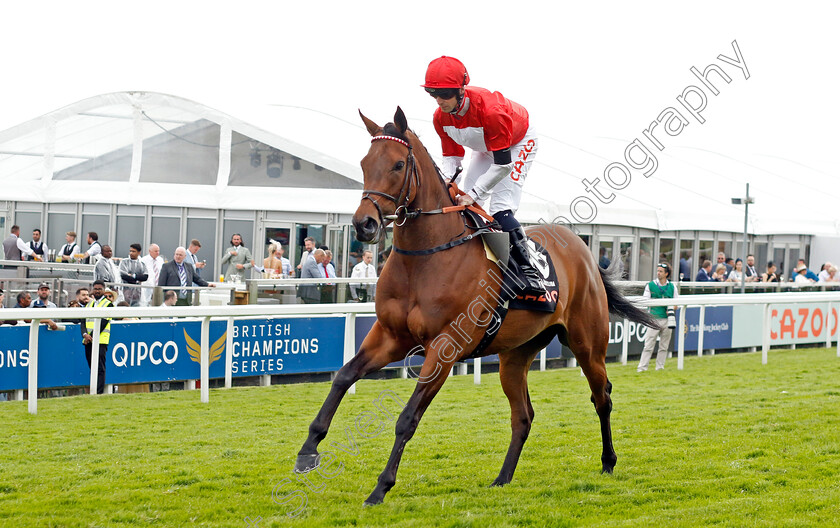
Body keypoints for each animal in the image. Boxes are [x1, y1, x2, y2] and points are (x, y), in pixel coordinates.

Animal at [296, 105, 656, 506]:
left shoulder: (444, 348)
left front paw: (381, 487)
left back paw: (608, 462)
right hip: (515, 355)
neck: (425, 258)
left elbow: (407, 418)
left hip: (587, 343)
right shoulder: (390, 337)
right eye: (363, 163)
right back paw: (502, 478)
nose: (365, 224)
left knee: (601, 397)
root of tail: (584, 251)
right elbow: (343, 376)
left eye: (398, 165)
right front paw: (308, 451)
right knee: (523, 416)